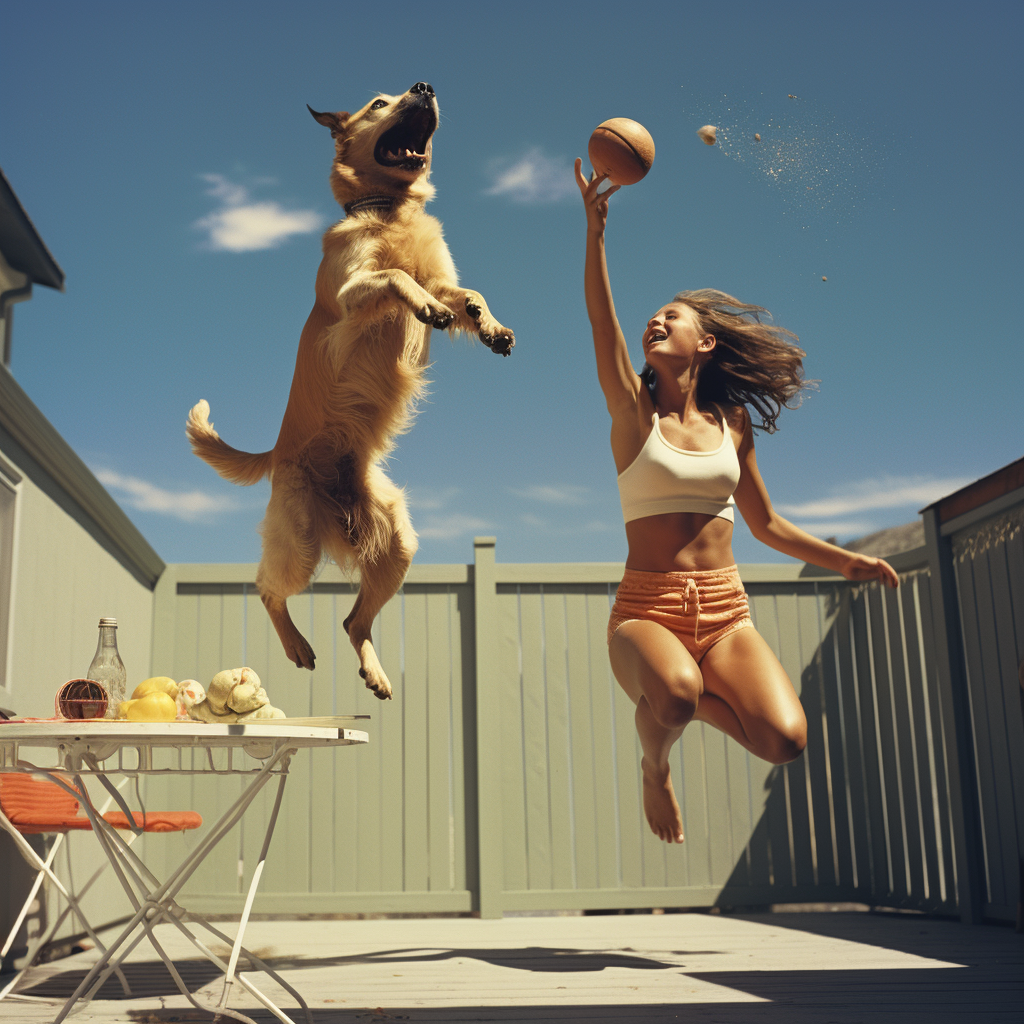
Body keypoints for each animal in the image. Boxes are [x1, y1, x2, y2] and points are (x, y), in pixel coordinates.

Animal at [186, 83, 512, 700]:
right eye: (380, 103)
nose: (424, 86)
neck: (390, 211)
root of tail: (276, 454)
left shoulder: (444, 278)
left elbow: (467, 293)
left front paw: (490, 327)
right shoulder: (352, 294)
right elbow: (397, 278)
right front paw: (424, 306)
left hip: (398, 543)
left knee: (352, 620)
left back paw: (374, 672)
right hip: (299, 545)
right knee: (266, 586)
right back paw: (296, 646)